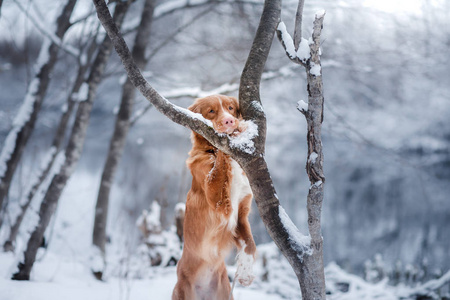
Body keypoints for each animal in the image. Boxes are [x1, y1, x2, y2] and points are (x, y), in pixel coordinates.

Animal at [172, 95, 256, 300]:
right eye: (211, 111)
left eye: (230, 108)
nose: (230, 121)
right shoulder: (218, 202)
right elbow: (218, 168)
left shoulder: (241, 215)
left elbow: (250, 244)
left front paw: (246, 274)